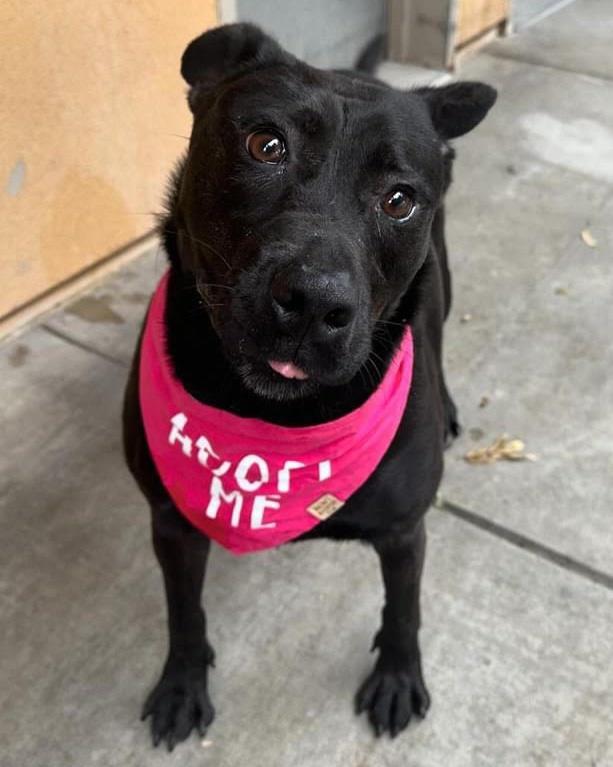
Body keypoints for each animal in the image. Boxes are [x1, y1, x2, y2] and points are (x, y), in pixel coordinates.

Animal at [122, 22, 494, 752]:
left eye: (399, 200)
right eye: (266, 145)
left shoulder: (404, 530)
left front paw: (398, 675)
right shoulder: (171, 523)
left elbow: (403, 607)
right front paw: (182, 683)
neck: (276, 425)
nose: (314, 303)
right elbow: (183, 612)